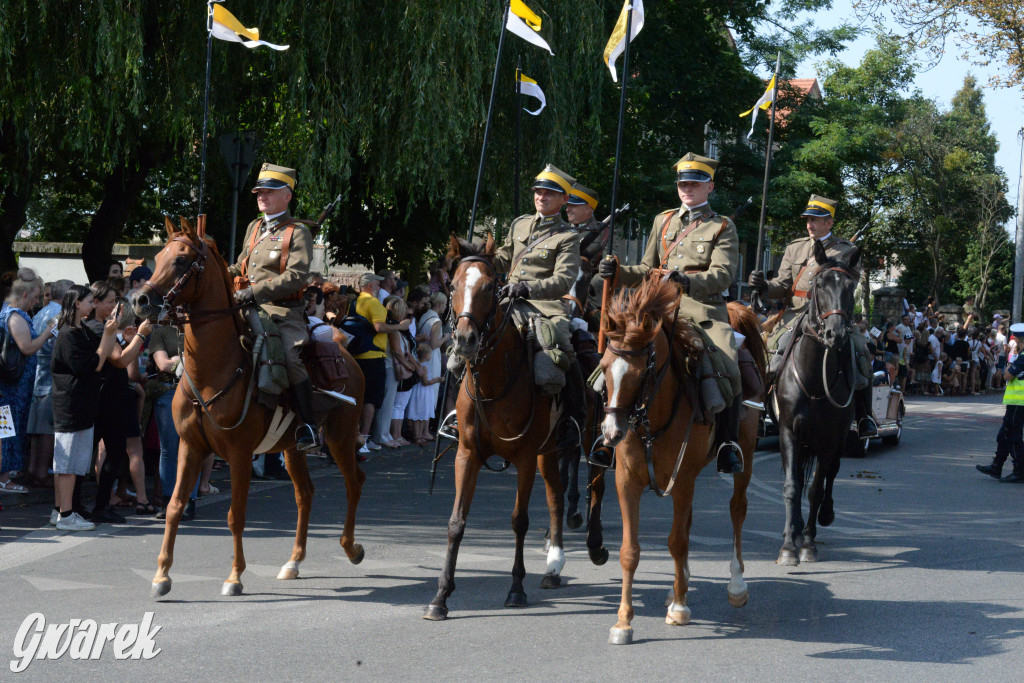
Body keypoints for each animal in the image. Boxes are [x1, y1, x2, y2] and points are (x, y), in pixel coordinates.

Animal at [130, 219, 366, 598]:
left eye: (181, 261)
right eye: (159, 256)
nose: (140, 300)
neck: (213, 370)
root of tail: (344, 351)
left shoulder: (238, 454)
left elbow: (235, 515)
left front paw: (234, 577)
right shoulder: (189, 447)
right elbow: (174, 506)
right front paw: (162, 575)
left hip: (340, 437)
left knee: (354, 482)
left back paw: (351, 547)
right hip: (292, 447)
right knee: (305, 494)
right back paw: (293, 561)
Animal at [423, 237, 606, 622]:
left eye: (490, 287)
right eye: (453, 285)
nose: (464, 339)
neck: (495, 378)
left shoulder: (523, 457)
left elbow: (519, 520)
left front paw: (516, 589)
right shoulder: (468, 453)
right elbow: (456, 522)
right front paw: (441, 596)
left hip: (589, 437)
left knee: (597, 482)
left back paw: (595, 546)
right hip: (548, 451)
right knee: (555, 496)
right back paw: (553, 565)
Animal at [598, 278, 765, 647]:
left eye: (641, 371)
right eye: (603, 367)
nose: (611, 432)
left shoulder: (683, 479)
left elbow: (676, 542)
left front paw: (679, 608)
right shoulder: (627, 482)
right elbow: (630, 550)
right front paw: (623, 622)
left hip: (744, 457)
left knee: (737, 509)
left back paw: (736, 585)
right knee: (688, 522)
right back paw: (681, 583)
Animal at [770, 240, 860, 565]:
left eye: (851, 285)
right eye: (819, 284)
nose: (836, 333)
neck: (812, 380)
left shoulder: (828, 438)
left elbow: (816, 490)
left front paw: (807, 544)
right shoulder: (788, 432)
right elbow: (792, 486)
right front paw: (788, 546)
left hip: (841, 438)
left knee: (831, 474)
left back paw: (823, 518)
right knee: (798, 476)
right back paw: (794, 528)